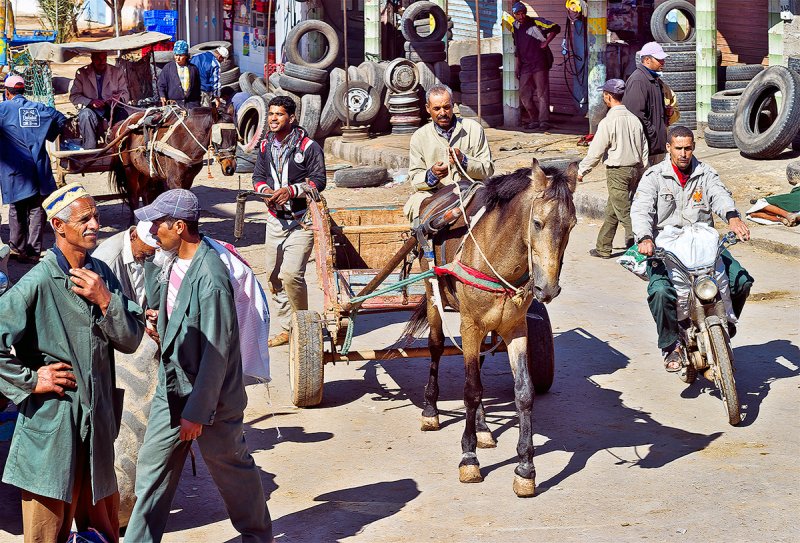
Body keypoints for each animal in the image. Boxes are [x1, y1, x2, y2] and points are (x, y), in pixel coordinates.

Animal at [108, 105, 238, 210]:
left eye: (236, 135)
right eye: (219, 136)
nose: (230, 168)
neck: (184, 140)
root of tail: (124, 123)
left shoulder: (188, 180)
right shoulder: (173, 180)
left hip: (144, 170)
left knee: (145, 193)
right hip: (130, 170)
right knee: (133, 197)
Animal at [406, 157, 576, 498]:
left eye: (571, 225)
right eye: (537, 222)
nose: (547, 289)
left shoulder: (515, 327)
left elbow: (523, 393)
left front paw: (525, 469)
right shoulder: (470, 325)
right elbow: (470, 390)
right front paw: (468, 458)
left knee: (480, 364)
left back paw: (484, 428)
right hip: (433, 297)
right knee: (436, 347)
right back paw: (431, 410)